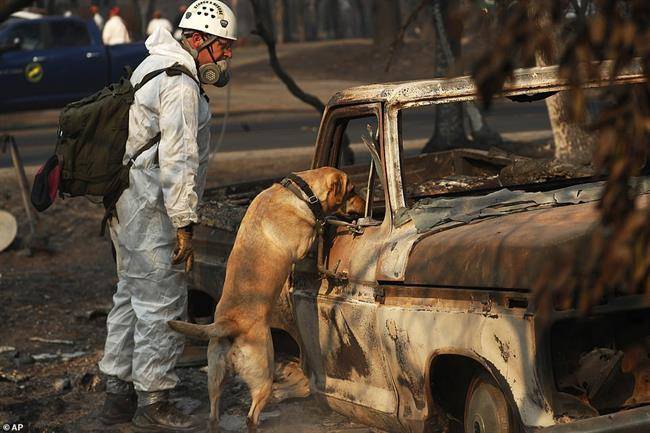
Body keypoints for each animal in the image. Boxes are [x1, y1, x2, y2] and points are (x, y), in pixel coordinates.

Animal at [167, 167, 364, 430]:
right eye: (352, 190)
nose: (364, 207)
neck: (300, 192)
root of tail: (229, 324)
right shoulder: (303, 245)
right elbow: (317, 232)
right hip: (263, 375)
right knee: (251, 416)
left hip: (215, 378)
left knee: (213, 414)